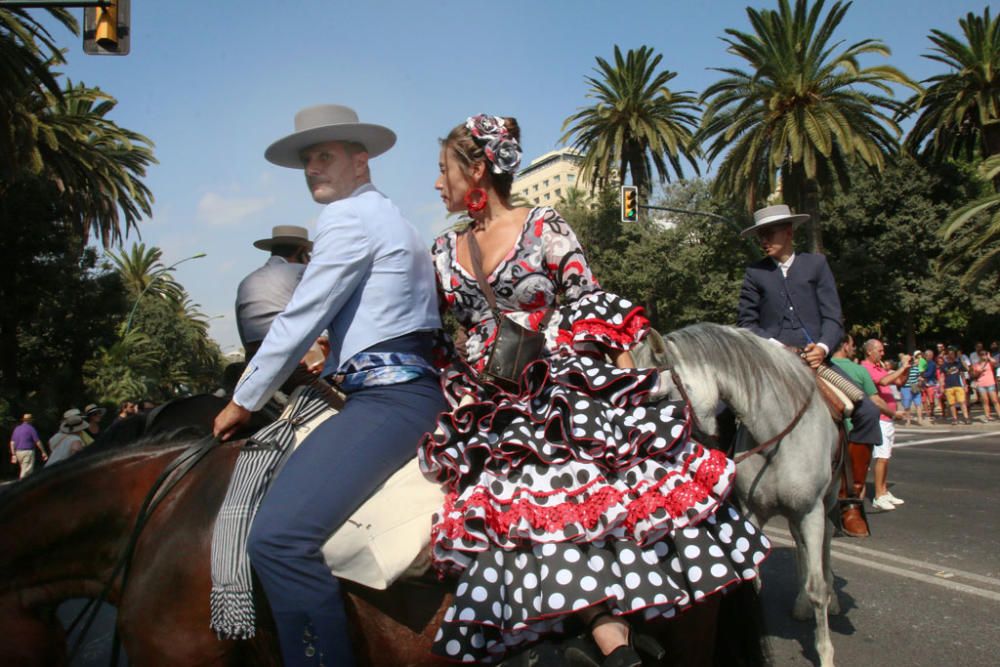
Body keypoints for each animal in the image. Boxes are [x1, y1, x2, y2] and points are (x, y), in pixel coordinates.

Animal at [636, 324, 840, 667]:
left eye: (660, 397)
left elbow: (817, 587)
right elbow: (754, 579)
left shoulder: (811, 511)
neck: (776, 442)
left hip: (827, 502)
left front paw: (825, 653)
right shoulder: (751, 512)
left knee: (824, 543)